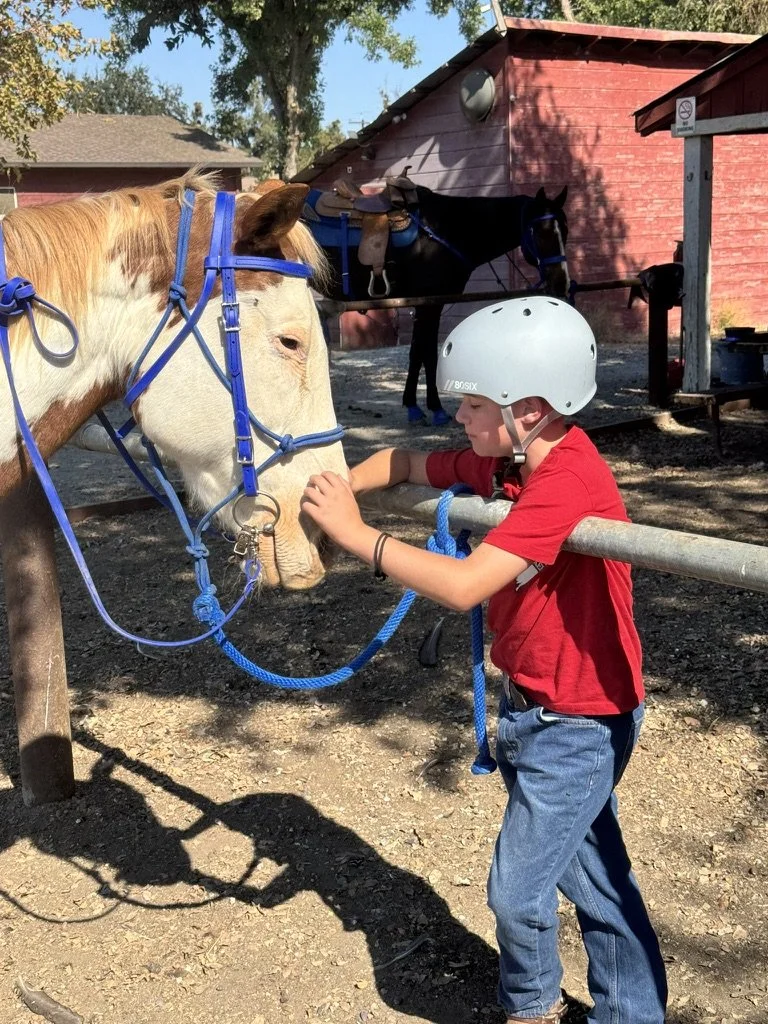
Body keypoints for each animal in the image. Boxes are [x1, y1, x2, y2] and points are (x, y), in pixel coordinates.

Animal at [305, 182, 569, 425]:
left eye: (565, 231)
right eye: (540, 232)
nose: (561, 282)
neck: (447, 229)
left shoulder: (426, 303)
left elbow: (417, 353)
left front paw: (413, 405)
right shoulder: (430, 303)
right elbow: (429, 354)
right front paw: (435, 408)